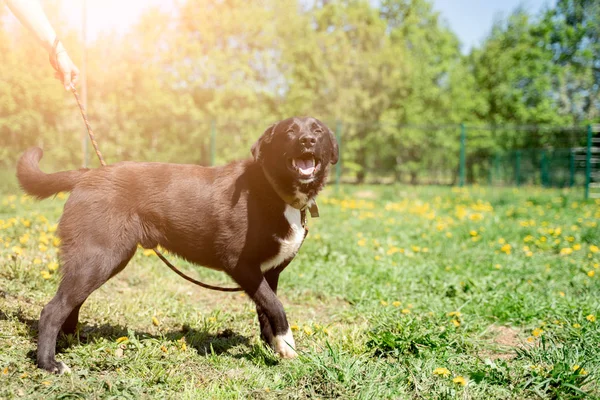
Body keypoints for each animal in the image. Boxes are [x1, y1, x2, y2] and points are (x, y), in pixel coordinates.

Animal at [15, 116, 338, 376]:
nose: (307, 140)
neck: (274, 189)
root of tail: (87, 173)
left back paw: (70, 342)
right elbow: (276, 306)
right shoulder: (241, 264)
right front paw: (287, 344)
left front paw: (273, 348)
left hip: (101, 260)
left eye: (318, 130)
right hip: (99, 256)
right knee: (53, 309)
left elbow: (266, 311)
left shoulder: (269, 273)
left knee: (71, 303)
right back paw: (49, 363)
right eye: (289, 131)